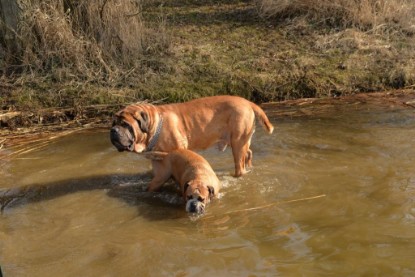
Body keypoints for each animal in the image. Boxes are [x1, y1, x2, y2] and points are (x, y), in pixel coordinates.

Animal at [110, 95, 274, 176]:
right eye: (113, 123)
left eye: (125, 124)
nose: (113, 130)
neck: (154, 125)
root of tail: (248, 102)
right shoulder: (157, 161)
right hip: (242, 141)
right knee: (249, 153)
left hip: (237, 143)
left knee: (239, 164)